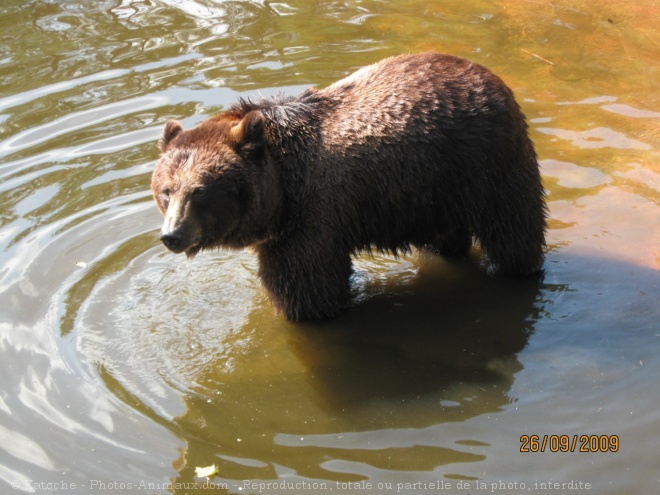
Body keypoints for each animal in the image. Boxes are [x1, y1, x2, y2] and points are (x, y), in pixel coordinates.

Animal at [151, 51, 548, 322]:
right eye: (166, 190)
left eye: (200, 190)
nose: (172, 235)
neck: (281, 191)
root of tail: (491, 77)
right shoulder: (285, 230)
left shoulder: (312, 217)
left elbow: (308, 286)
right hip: (437, 186)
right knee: (448, 235)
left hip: (488, 164)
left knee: (513, 230)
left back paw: (519, 270)